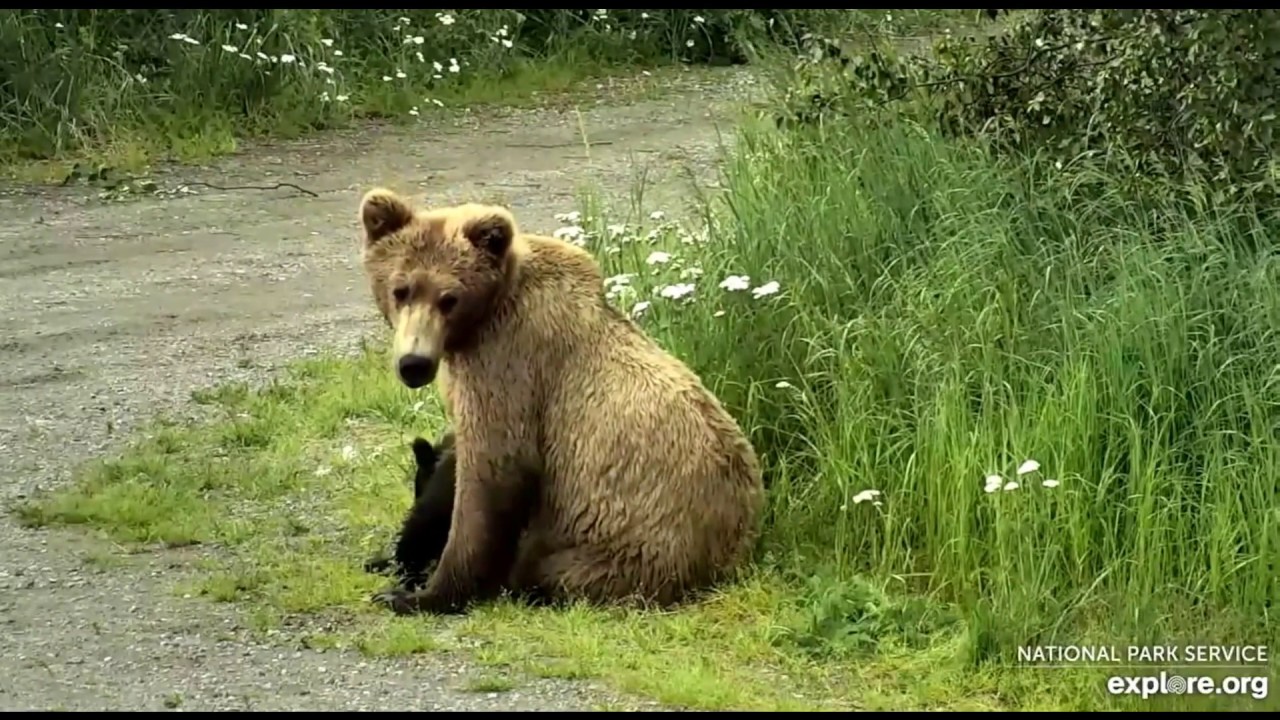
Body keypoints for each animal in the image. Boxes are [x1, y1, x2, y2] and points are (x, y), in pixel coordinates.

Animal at [356, 187, 766, 616]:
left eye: (448, 298)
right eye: (401, 289)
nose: (414, 363)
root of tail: (733, 556)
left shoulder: (510, 363)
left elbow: (492, 473)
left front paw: (418, 593)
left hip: (623, 549)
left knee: (549, 570)